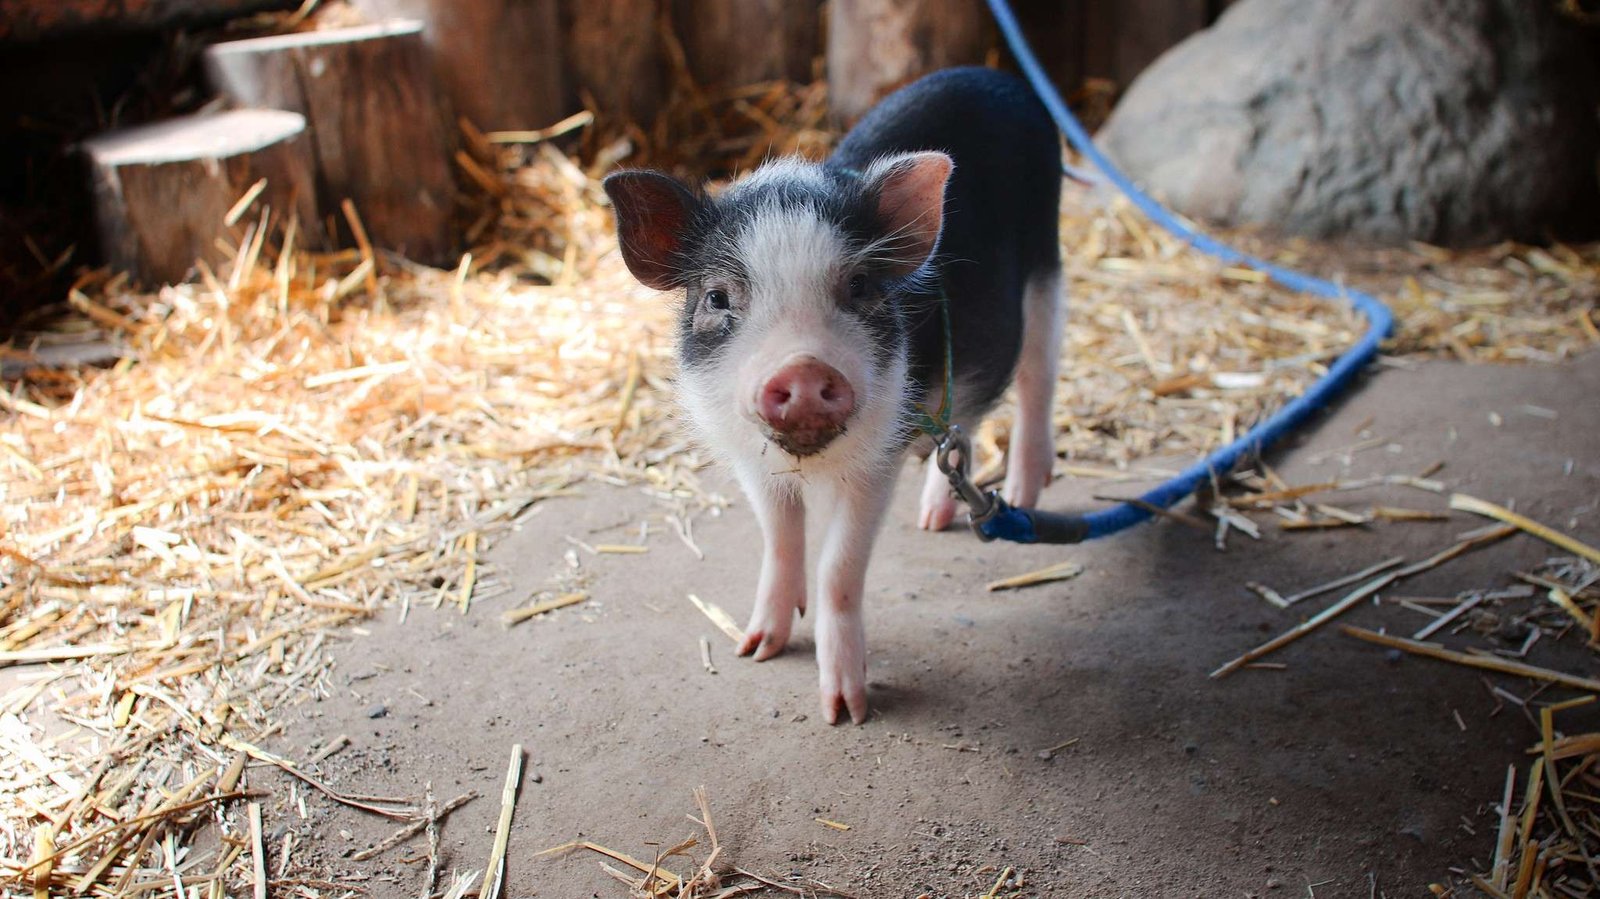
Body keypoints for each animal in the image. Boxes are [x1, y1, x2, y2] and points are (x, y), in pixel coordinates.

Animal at [603, 67, 1064, 724]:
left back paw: (1024, 492)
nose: (800, 368)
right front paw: (756, 649)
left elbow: (839, 565)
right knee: (963, 424)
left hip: (1049, 271)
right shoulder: (752, 458)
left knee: (1035, 380)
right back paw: (932, 519)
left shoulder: (878, 460)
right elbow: (779, 536)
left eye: (861, 285)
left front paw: (847, 710)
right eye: (717, 297)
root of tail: (998, 77)